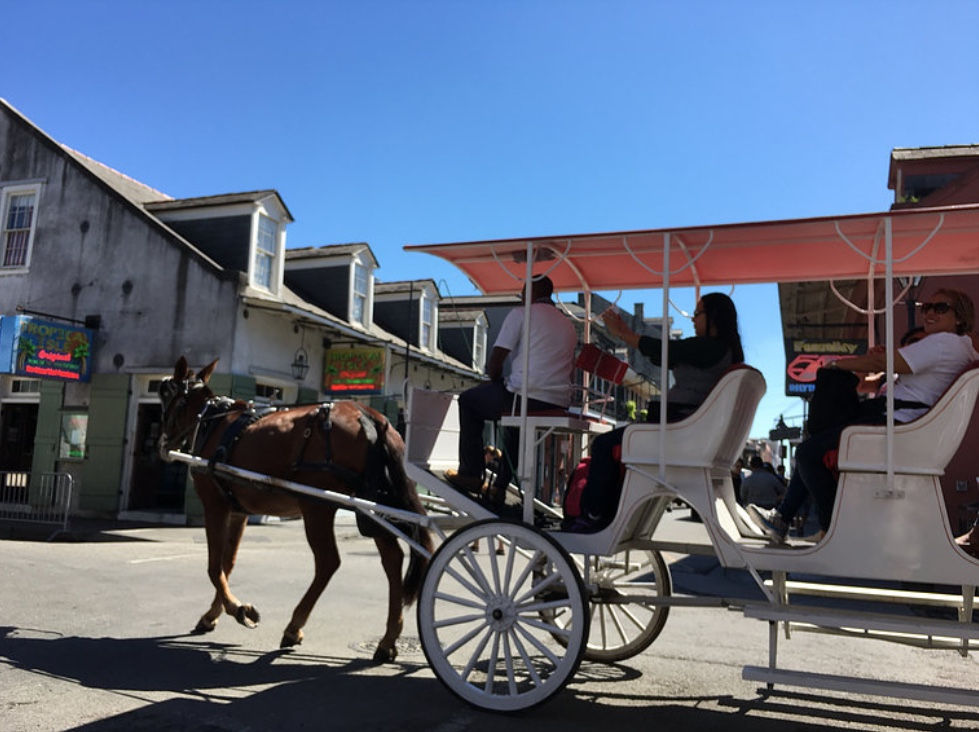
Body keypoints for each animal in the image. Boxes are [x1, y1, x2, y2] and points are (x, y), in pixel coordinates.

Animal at [157, 356, 434, 661]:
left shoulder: (214, 505)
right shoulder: (239, 511)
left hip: (318, 507)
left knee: (328, 562)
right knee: (392, 559)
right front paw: (213, 614)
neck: (213, 423)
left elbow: (214, 566)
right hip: (370, 507)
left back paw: (294, 626)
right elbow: (228, 564)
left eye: (164, 393)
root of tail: (370, 416)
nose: (163, 443)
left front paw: (239, 610)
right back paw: (388, 639)